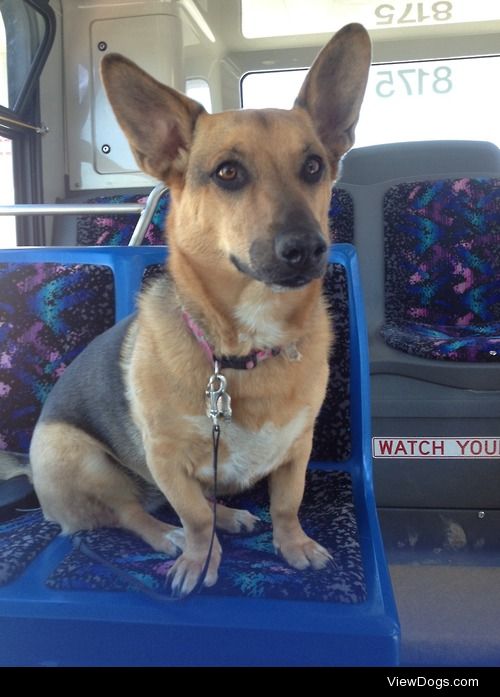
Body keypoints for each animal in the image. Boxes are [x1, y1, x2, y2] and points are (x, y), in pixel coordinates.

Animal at [28, 24, 372, 596]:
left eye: (314, 167)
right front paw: (196, 557)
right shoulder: (165, 459)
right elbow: (192, 516)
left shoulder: (298, 448)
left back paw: (231, 516)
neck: (242, 348)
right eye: (227, 172)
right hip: (77, 456)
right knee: (131, 512)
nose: (308, 248)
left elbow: (287, 503)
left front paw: (292, 544)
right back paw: (168, 536)